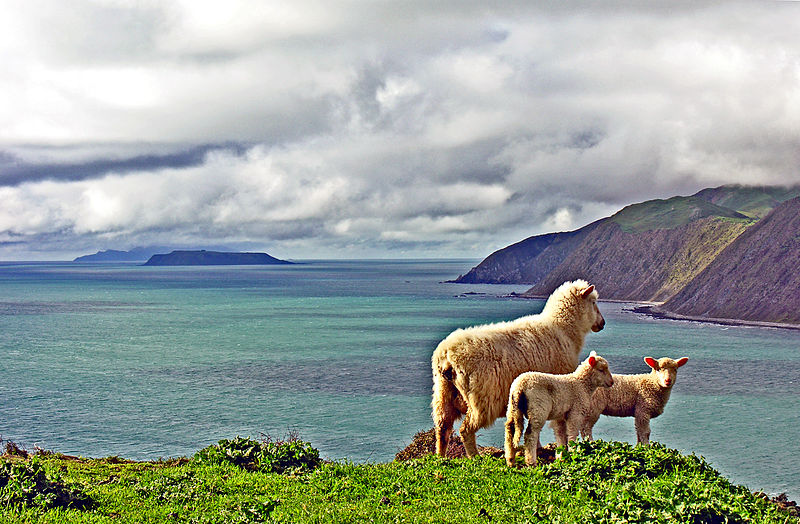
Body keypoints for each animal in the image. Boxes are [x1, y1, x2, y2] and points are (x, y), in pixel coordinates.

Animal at [432, 280, 608, 456]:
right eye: (593, 302)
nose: (603, 323)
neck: (563, 328)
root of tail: (447, 357)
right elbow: (557, 425)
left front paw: (538, 447)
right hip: (481, 400)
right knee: (465, 430)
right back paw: (475, 457)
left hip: (443, 394)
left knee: (443, 429)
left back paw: (441, 457)